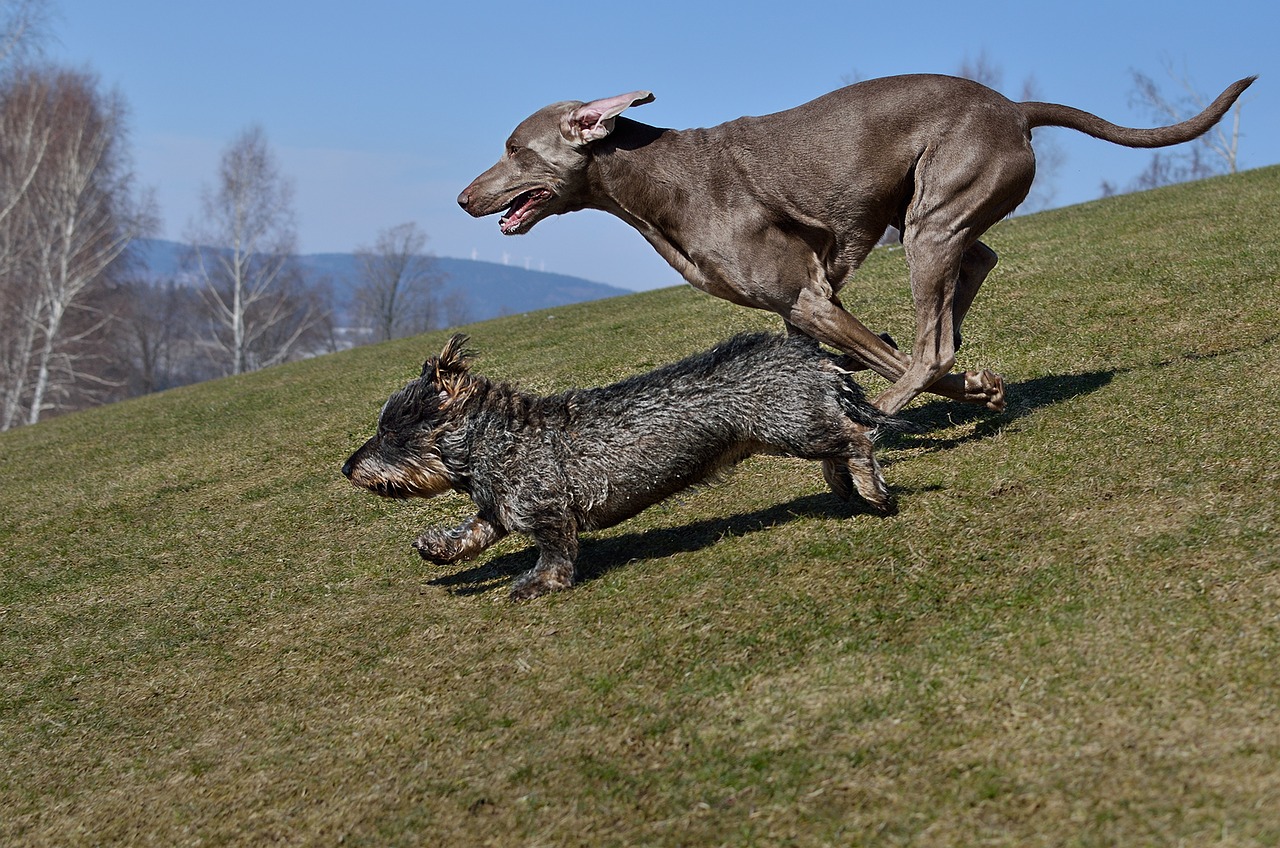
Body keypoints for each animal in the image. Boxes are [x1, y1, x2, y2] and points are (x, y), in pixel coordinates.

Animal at [340, 333, 911, 604]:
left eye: (390, 434)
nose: (347, 467)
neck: (497, 441)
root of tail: (810, 350)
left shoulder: (547, 512)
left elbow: (554, 554)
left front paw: (539, 584)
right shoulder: (501, 508)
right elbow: (473, 532)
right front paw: (438, 547)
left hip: (790, 427)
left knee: (856, 438)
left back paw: (873, 491)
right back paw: (842, 484)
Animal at [458, 74, 1249, 417]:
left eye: (513, 148)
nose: (464, 199)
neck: (651, 178)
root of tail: (1014, 107)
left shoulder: (808, 298)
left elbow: (893, 355)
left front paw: (953, 386)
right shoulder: (799, 310)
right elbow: (856, 353)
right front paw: (980, 386)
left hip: (930, 220)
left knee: (933, 344)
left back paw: (904, 396)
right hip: (927, 213)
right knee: (973, 269)